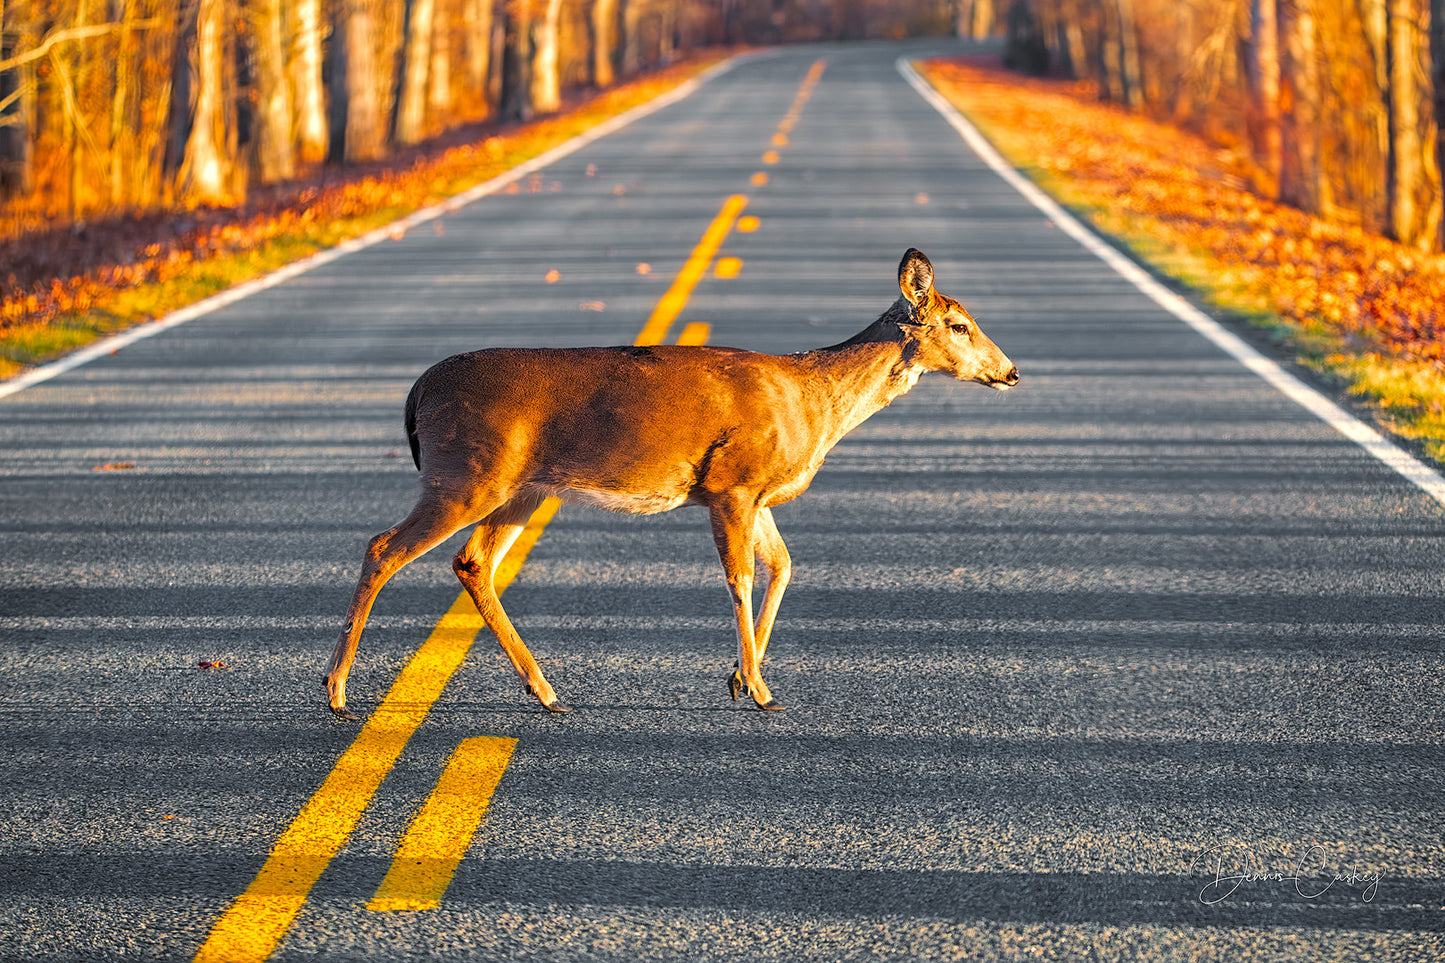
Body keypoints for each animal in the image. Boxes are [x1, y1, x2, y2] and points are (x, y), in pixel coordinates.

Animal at [328, 248, 1023, 720]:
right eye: (959, 324)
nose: (1012, 371)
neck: (814, 401)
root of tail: (418, 391)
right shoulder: (733, 485)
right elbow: (742, 578)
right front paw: (760, 689)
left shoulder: (757, 494)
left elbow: (784, 566)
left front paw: (741, 678)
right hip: (466, 472)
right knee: (384, 546)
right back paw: (335, 690)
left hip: (521, 489)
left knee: (470, 562)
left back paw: (546, 690)